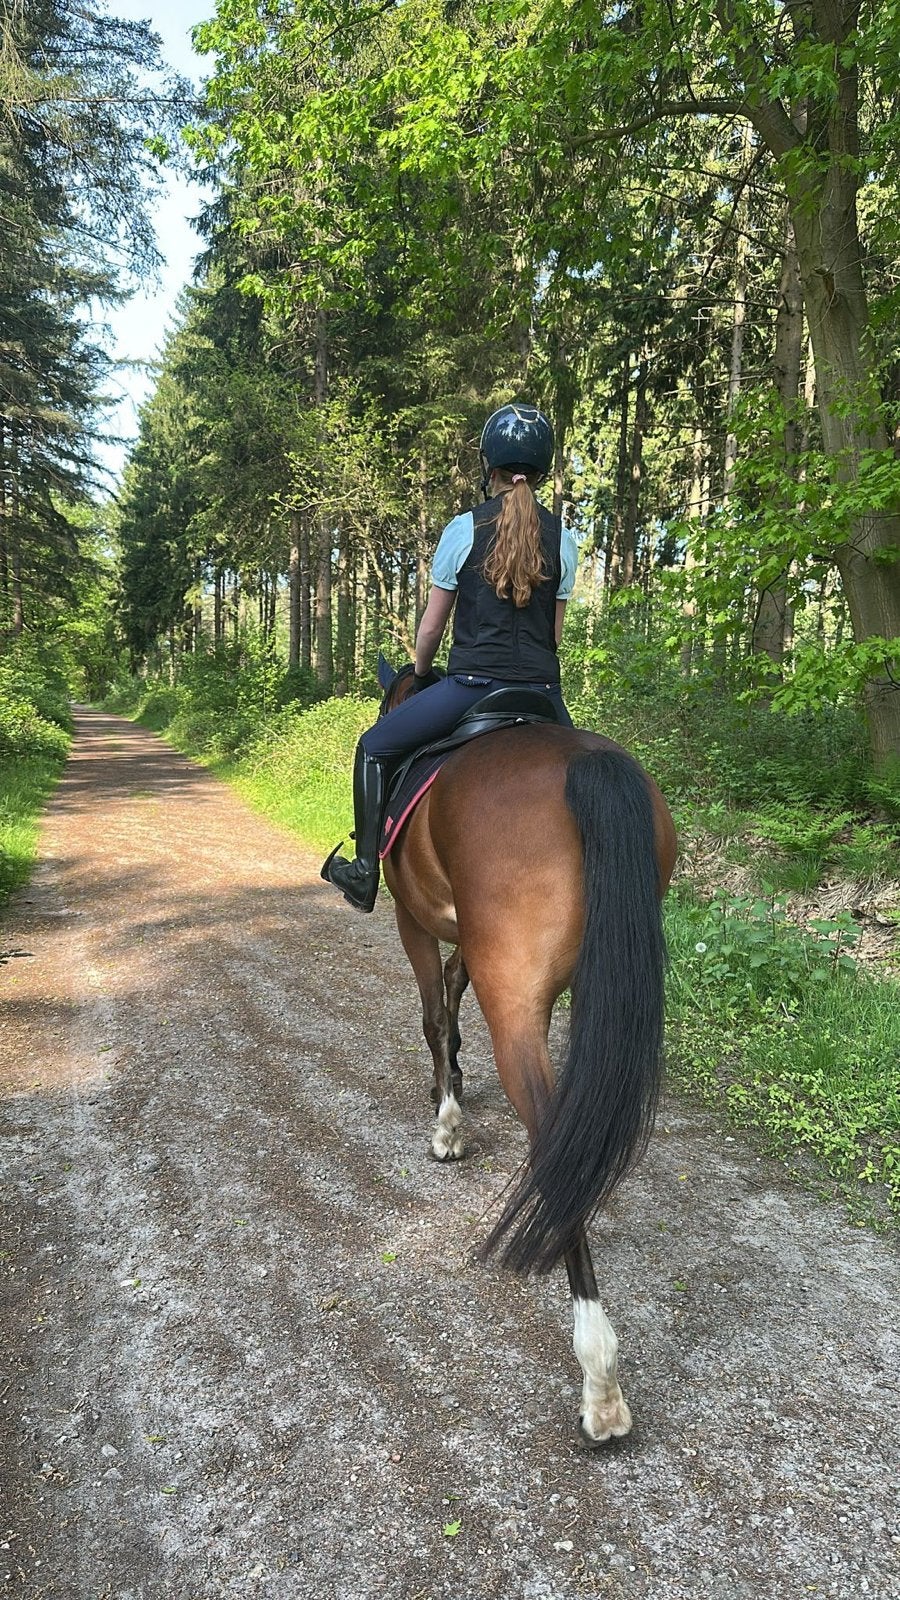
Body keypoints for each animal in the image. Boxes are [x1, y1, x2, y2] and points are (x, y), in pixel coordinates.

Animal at [376, 660, 677, 1445]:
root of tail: (586, 764)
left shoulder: (412, 918)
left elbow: (432, 1011)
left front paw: (447, 1121)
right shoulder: (467, 940)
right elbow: (451, 997)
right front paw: (451, 1082)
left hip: (513, 997)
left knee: (557, 1146)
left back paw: (599, 1379)